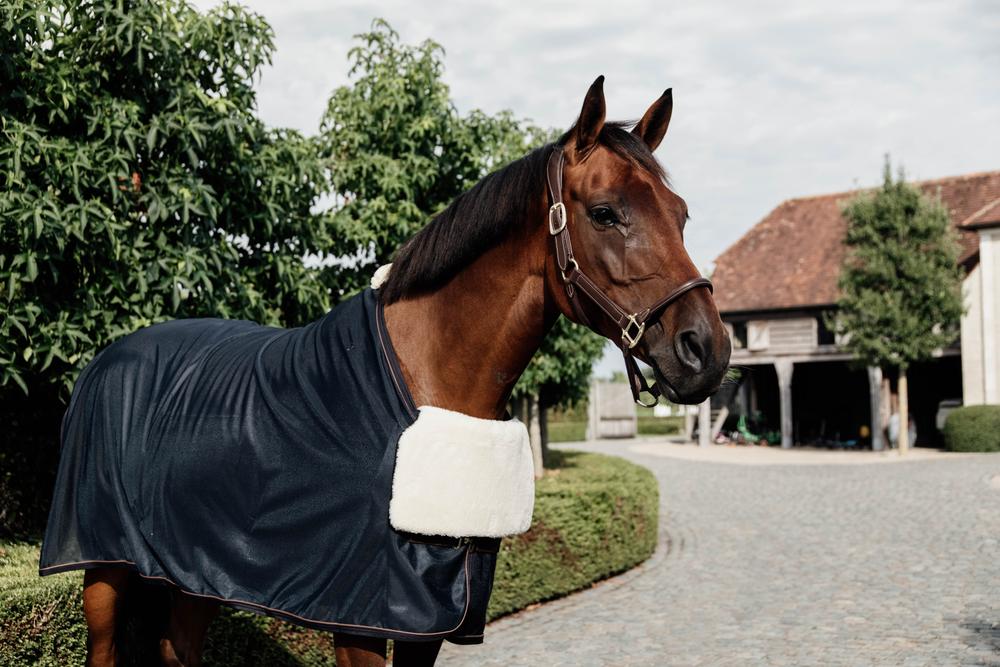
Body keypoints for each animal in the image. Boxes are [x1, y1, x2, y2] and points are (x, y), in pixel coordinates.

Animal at [40, 76, 730, 667]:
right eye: (606, 212)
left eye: (681, 213)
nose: (706, 349)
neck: (426, 385)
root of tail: (108, 358)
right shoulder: (365, 620)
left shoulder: (434, 616)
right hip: (103, 572)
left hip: (196, 574)